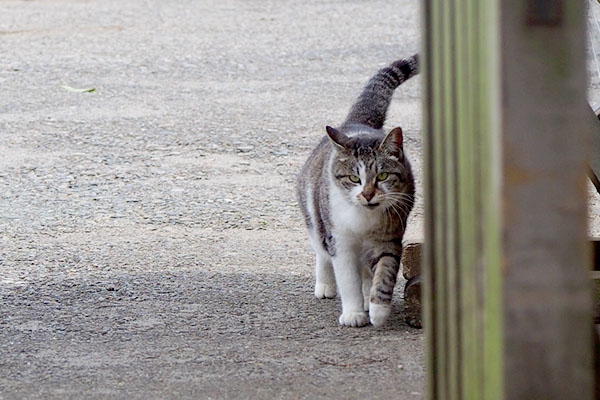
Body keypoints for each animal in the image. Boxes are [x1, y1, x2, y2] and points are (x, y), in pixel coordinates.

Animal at [296, 54, 418, 328]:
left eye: (382, 176)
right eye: (354, 178)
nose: (368, 194)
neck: (364, 217)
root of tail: (357, 122)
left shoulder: (389, 237)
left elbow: (385, 272)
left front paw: (378, 308)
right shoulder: (340, 240)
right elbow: (347, 278)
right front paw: (353, 313)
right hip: (314, 213)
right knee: (321, 251)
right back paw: (326, 285)